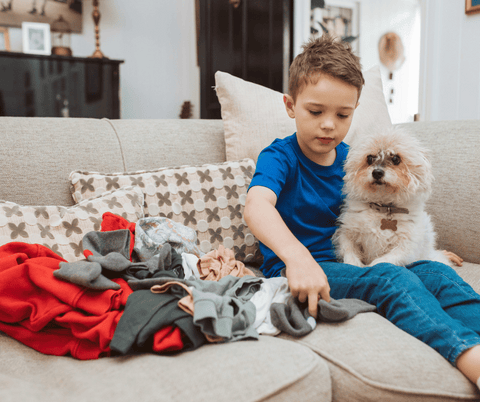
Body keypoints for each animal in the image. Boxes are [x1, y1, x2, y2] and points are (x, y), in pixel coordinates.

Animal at [332, 127, 452, 268]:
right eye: (370, 158)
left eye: (395, 158)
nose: (377, 173)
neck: (384, 208)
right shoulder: (346, 234)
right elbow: (350, 255)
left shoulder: (406, 248)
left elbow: (380, 262)